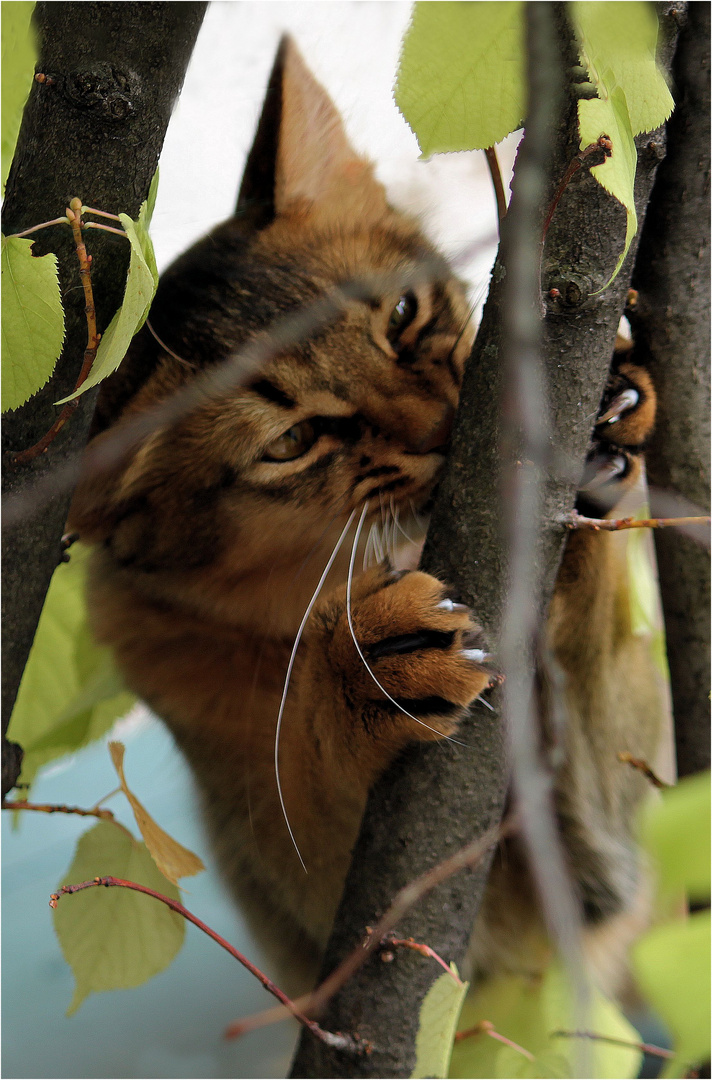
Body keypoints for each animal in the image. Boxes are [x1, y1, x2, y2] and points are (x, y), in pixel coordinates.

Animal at [69, 33, 665, 993]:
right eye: (295, 440)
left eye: (402, 312)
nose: (443, 426)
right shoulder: (342, 928)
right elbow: (313, 782)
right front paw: (364, 669)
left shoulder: (612, 847)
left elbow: (601, 653)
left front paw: (600, 429)